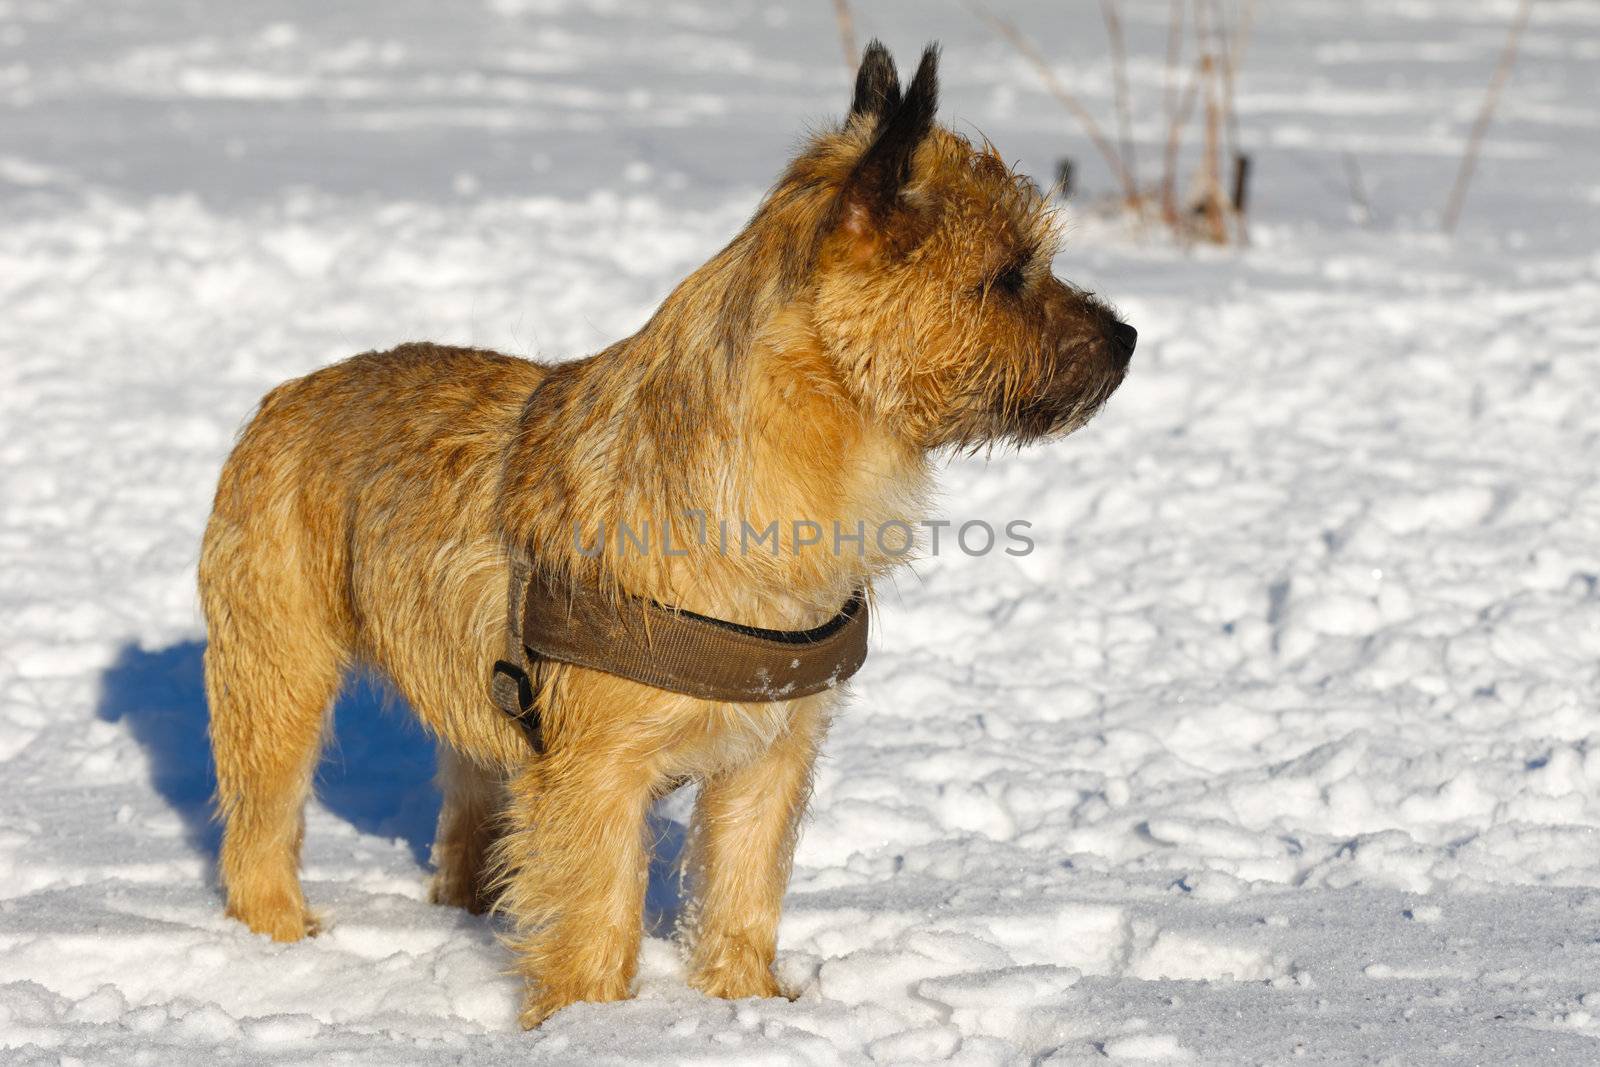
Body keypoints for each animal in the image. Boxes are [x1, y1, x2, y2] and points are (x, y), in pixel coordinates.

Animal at [200, 41, 1132, 1023]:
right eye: (1010, 274)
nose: (1128, 338)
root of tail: (282, 396)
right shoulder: (597, 775)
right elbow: (597, 916)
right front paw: (590, 1023)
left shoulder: (770, 758)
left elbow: (744, 891)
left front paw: (743, 1001)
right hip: (279, 673)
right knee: (261, 821)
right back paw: (281, 940)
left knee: (466, 811)